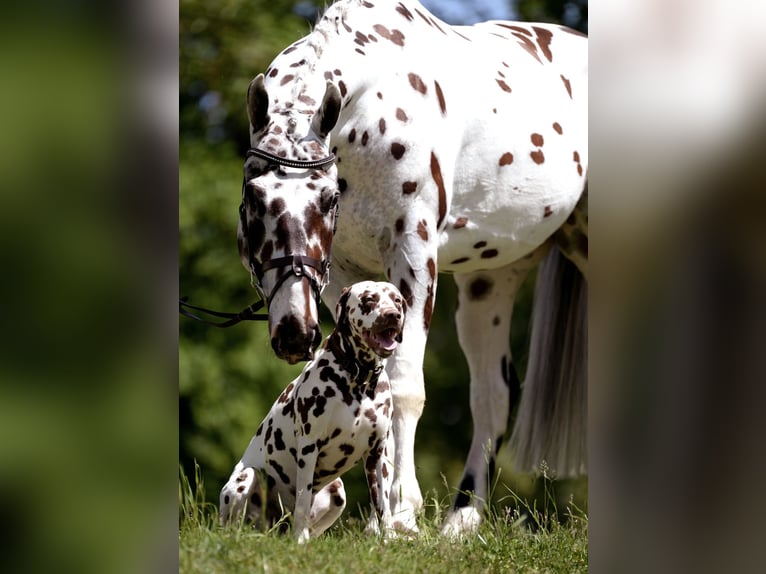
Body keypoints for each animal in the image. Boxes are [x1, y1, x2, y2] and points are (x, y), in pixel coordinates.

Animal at [219, 282, 404, 544]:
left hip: (338, 491)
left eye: (397, 300)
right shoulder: (309, 447)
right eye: (369, 299)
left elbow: (383, 504)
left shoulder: (377, 452)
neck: (359, 381)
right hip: (246, 478)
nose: (392, 315)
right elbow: (303, 499)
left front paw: (387, 537)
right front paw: (300, 539)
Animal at [237, 0, 592, 540]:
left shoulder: (414, 252)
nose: (295, 331)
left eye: (326, 198)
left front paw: (402, 512)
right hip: (491, 281)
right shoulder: (345, 274)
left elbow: (404, 384)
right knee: (493, 397)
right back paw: (461, 523)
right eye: (254, 200)